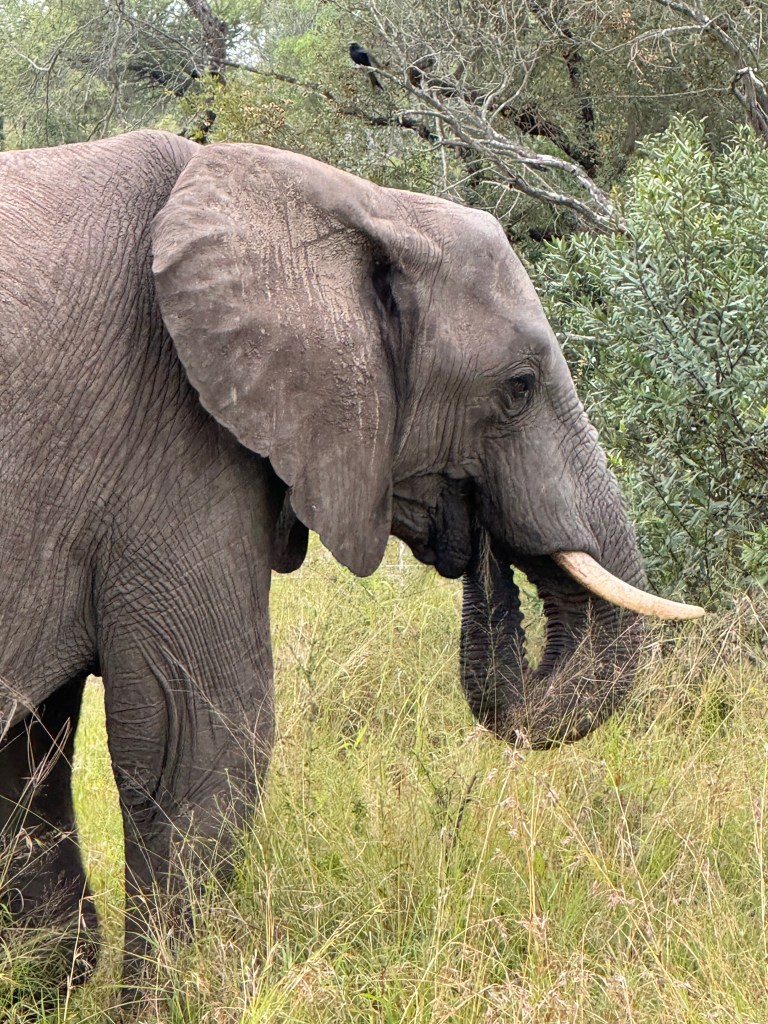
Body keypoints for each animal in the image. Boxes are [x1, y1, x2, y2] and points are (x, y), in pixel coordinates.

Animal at [0, 130, 702, 995]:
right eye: (518, 388)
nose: (482, 547)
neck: (351, 200)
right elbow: (196, 738)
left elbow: (31, 755)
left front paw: (48, 992)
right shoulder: (168, 446)